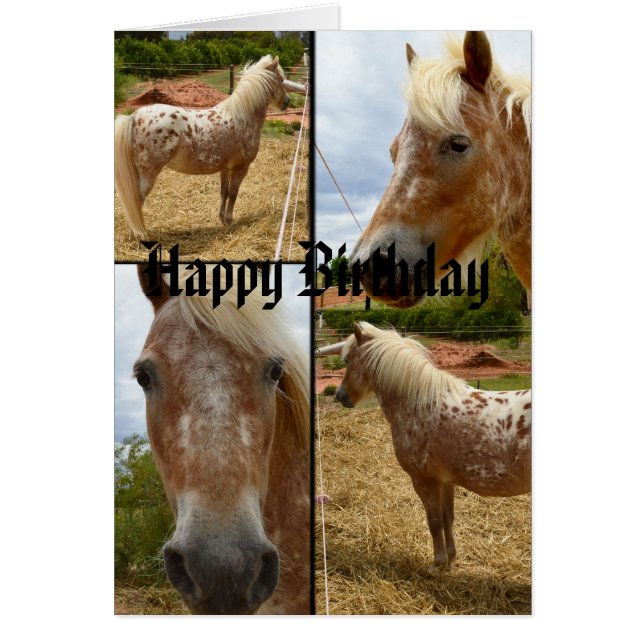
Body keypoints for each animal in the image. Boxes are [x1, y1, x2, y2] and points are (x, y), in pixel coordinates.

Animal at [115, 55, 291, 238]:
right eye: (281, 80)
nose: (287, 102)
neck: (242, 116)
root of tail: (135, 116)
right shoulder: (241, 167)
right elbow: (233, 193)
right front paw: (229, 221)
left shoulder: (226, 168)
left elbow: (224, 192)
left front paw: (222, 219)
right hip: (148, 175)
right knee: (136, 200)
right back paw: (139, 235)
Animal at [334, 322, 531, 576]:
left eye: (347, 360)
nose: (340, 395)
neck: (421, 404)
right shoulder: (445, 482)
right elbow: (448, 518)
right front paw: (451, 559)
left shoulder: (423, 480)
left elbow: (434, 521)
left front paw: (437, 565)